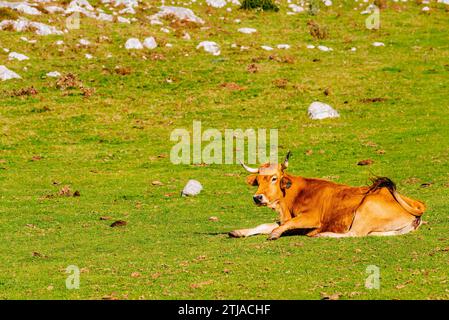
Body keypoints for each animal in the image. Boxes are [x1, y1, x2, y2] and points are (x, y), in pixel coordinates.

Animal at [229, 152, 426, 240]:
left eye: (274, 178)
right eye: (258, 180)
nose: (258, 198)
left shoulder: (312, 218)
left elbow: (285, 225)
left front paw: (275, 234)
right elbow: (264, 225)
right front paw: (239, 231)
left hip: (366, 208)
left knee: (354, 234)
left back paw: (323, 235)